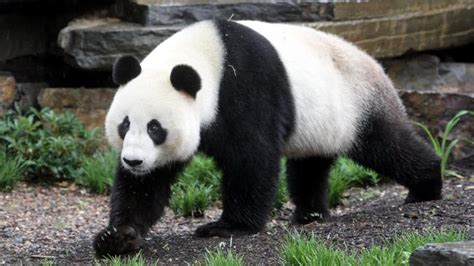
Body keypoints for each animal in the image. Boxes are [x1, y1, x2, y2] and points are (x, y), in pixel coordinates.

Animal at [92, 19, 440, 256]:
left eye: (155, 127)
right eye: (125, 124)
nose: (133, 160)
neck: (207, 55)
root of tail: (377, 64)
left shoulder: (244, 86)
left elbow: (252, 158)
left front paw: (227, 227)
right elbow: (147, 185)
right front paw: (118, 236)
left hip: (358, 104)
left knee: (388, 146)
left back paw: (427, 186)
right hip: (321, 123)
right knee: (309, 167)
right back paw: (309, 214)